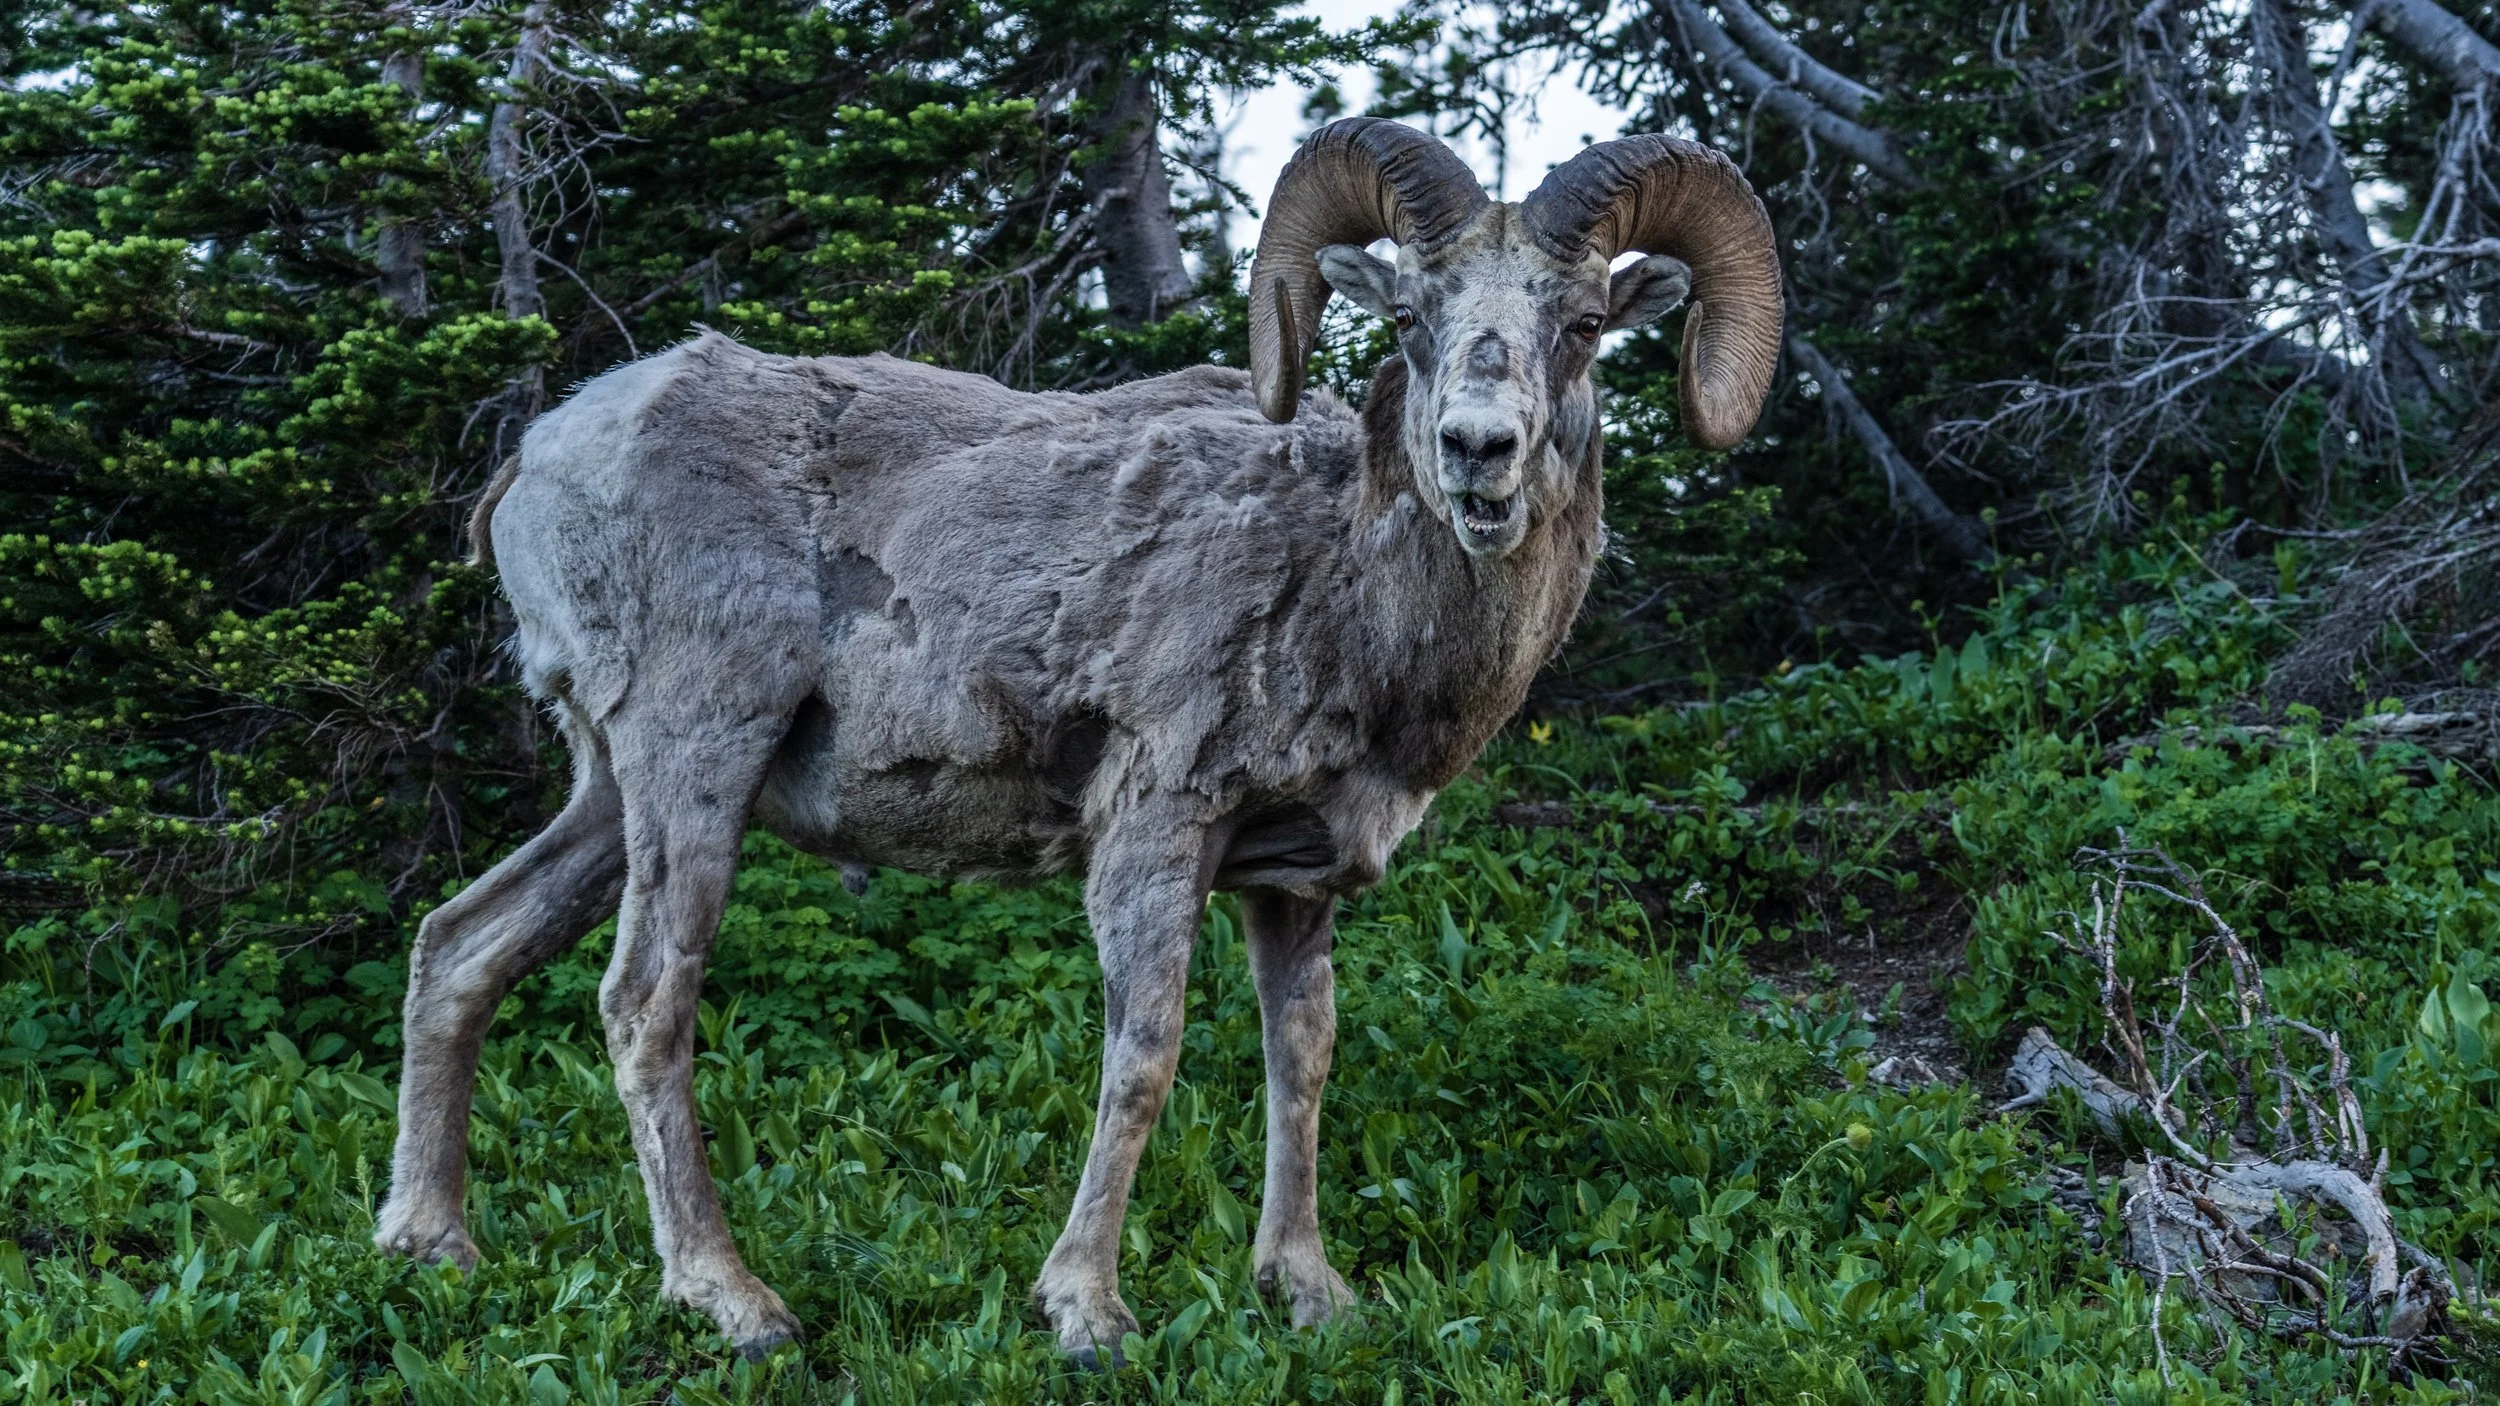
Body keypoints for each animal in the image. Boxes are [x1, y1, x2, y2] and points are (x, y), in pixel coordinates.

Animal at [372, 117, 1782, 1365]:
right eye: (1411, 319)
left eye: (1582, 325)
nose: (1477, 452)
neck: (1341, 582)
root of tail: (539, 458)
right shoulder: (1154, 832)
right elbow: (1144, 1056)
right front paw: (1087, 1314)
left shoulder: (1291, 881)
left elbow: (1302, 1060)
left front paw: (1309, 1293)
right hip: (692, 764)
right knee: (641, 1002)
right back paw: (734, 1302)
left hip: (610, 795)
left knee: (461, 944)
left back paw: (429, 1243)